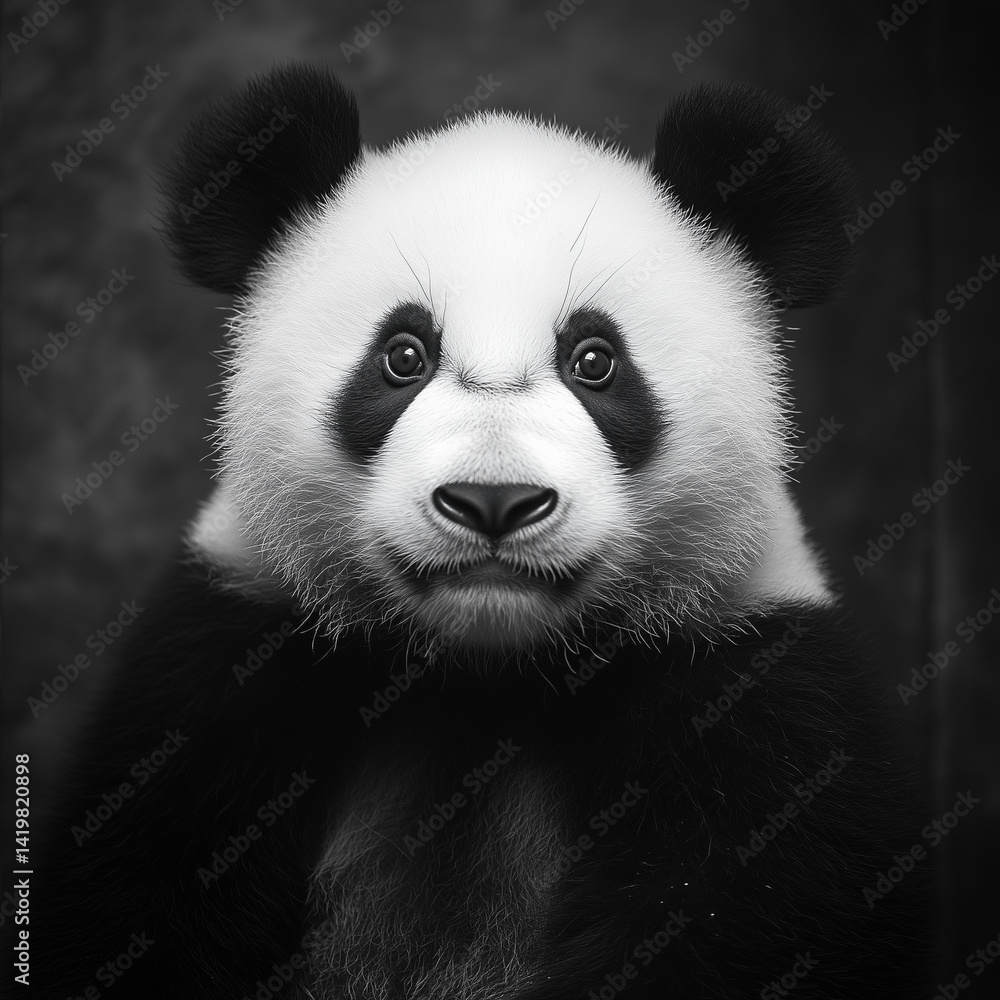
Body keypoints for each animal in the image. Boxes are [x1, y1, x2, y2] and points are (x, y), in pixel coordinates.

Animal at [26, 65, 929, 998]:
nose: (494, 502)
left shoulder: (753, 692)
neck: (485, 675)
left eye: (595, 361)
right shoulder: (223, 669)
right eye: (403, 355)